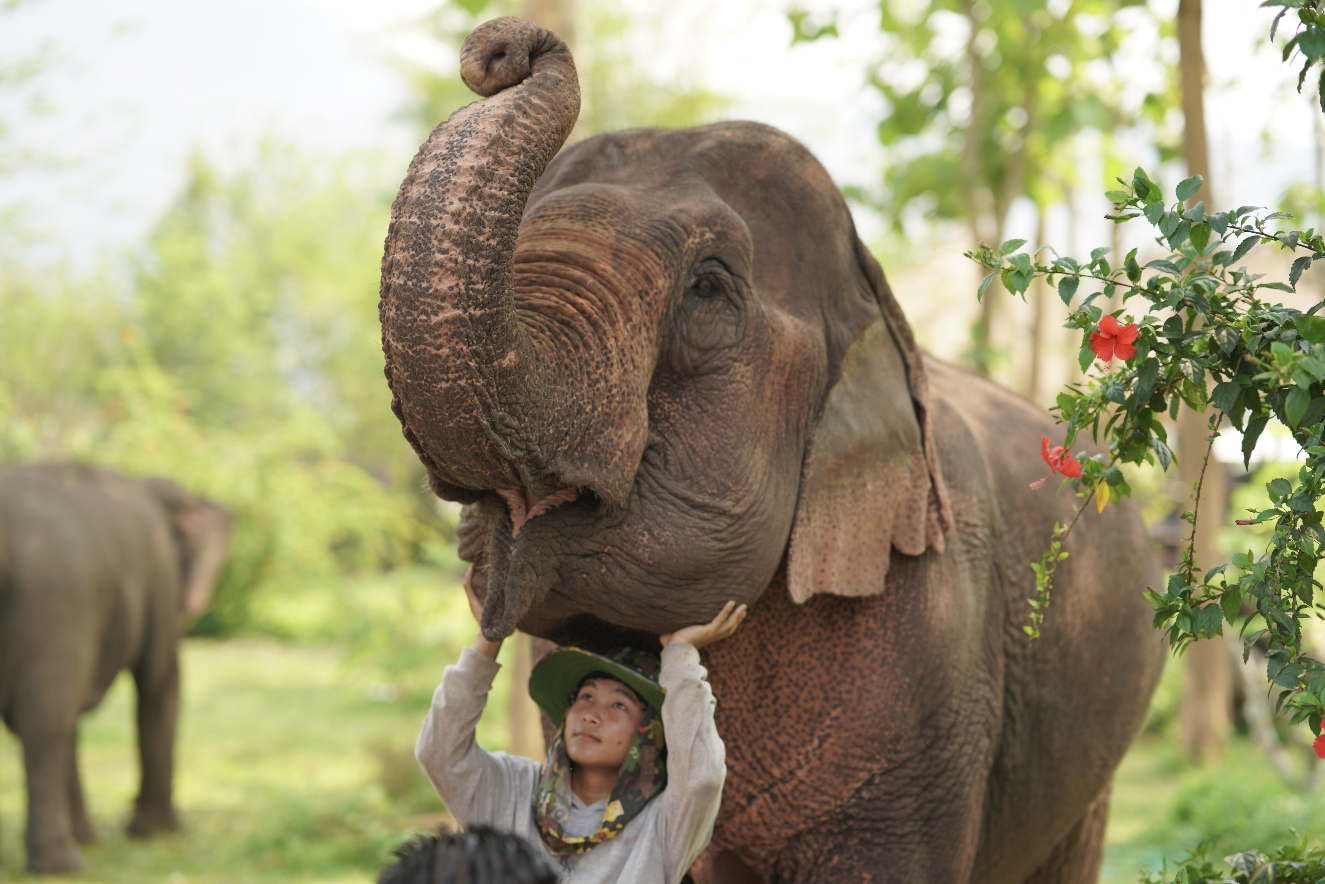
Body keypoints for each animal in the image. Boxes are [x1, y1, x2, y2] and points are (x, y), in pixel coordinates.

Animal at [0, 463, 233, 869]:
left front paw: (92, 840)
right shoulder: (159, 570)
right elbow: (160, 682)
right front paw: (157, 834)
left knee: (53, 719)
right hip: (53, 597)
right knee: (45, 724)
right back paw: (62, 866)